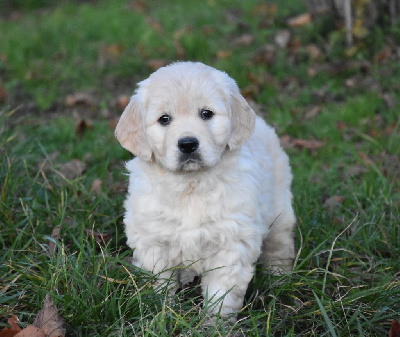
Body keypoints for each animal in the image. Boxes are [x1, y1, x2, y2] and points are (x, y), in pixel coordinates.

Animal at [114, 61, 296, 320]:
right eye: (164, 119)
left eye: (206, 113)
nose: (188, 144)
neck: (190, 184)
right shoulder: (153, 241)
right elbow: (159, 284)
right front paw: (160, 313)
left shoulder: (231, 242)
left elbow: (222, 294)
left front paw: (216, 323)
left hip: (279, 209)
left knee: (280, 245)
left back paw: (280, 279)